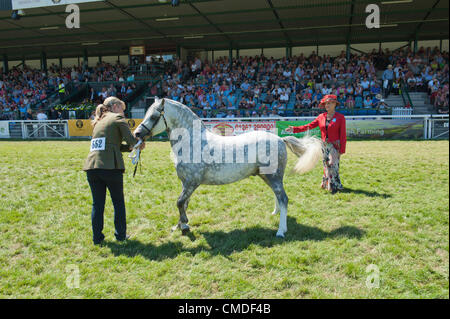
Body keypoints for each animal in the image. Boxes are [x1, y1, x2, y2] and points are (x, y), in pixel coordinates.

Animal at [133, 99, 320, 239]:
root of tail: (280, 139)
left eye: (154, 116)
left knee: (284, 199)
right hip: (267, 176)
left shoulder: (192, 182)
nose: (137, 134)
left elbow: (179, 202)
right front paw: (181, 225)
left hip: (273, 176)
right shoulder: (185, 183)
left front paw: (184, 225)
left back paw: (281, 231)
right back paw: (275, 214)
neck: (192, 142)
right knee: (278, 197)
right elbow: (184, 203)